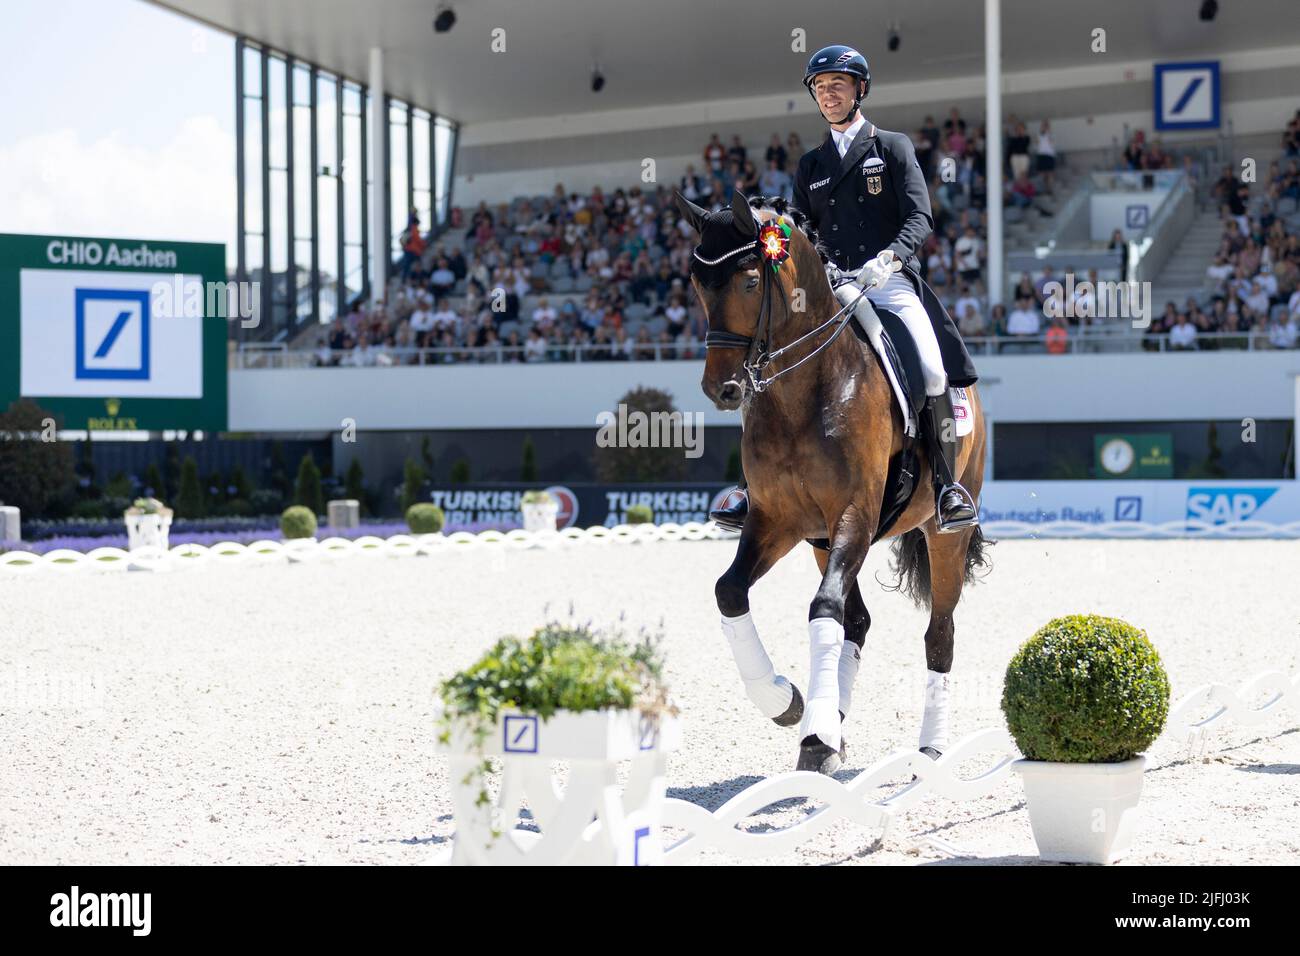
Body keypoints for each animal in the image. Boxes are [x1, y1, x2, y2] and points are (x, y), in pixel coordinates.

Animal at [676, 188, 987, 780]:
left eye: (749, 283)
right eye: (699, 286)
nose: (721, 389)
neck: (804, 389)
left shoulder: (856, 515)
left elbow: (823, 608)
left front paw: (813, 727)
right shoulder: (777, 519)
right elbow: (730, 592)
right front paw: (788, 703)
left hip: (945, 533)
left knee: (939, 631)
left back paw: (928, 749)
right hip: (821, 541)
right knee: (856, 620)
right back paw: (826, 725)